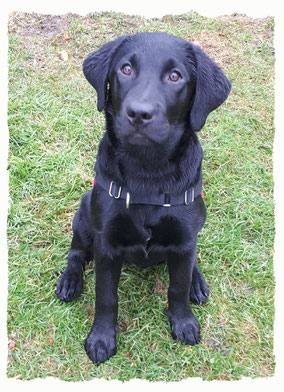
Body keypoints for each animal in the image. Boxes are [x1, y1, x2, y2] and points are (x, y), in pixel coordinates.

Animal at [55, 32, 231, 366]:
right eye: (125, 69)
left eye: (175, 76)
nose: (139, 113)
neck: (148, 172)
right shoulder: (107, 244)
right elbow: (106, 297)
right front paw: (101, 338)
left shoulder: (184, 237)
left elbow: (177, 286)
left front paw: (184, 322)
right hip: (84, 211)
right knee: (76, 252)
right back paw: (69, 280)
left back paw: (197, 282)